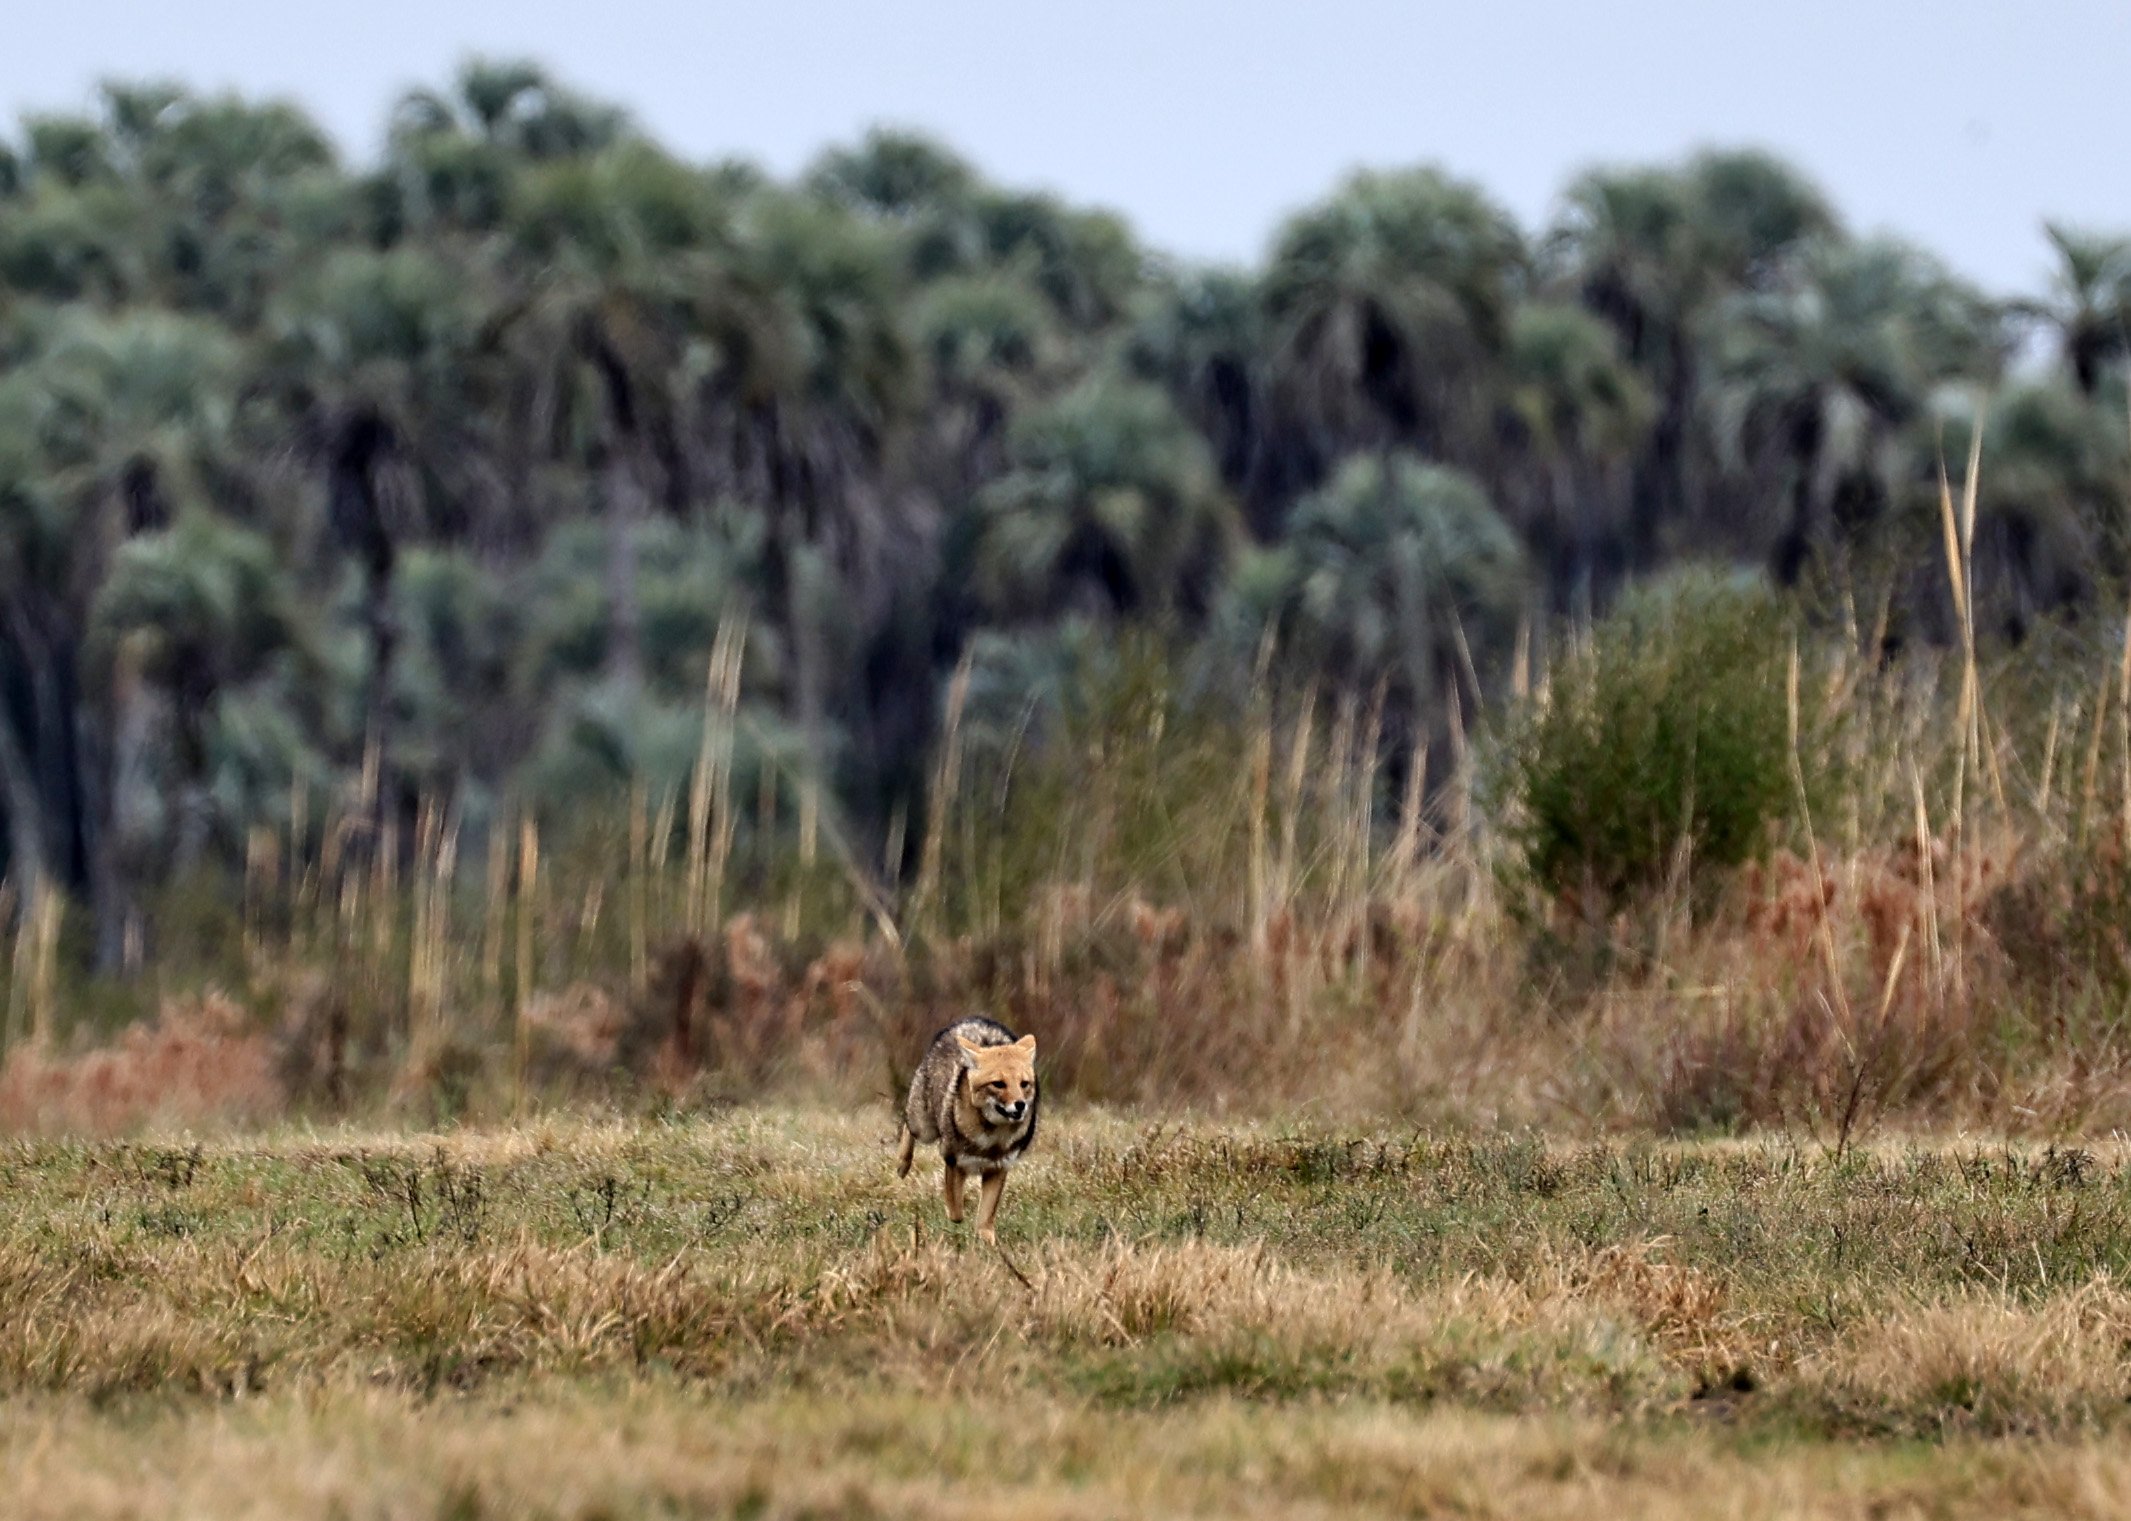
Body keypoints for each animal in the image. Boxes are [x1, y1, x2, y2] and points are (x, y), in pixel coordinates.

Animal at [896, 1016, 1038, 1244]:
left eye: (1024, 1084)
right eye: (998, 1084)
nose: (1020, 1105)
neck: (992, 1140)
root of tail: (971, 1019)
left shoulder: (998, 1168)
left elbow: (985, 1218)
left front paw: (986, 1241)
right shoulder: (954, 1161)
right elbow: (956, 1212)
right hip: (924, 1128)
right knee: (907, 1124)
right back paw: (902, 1164)